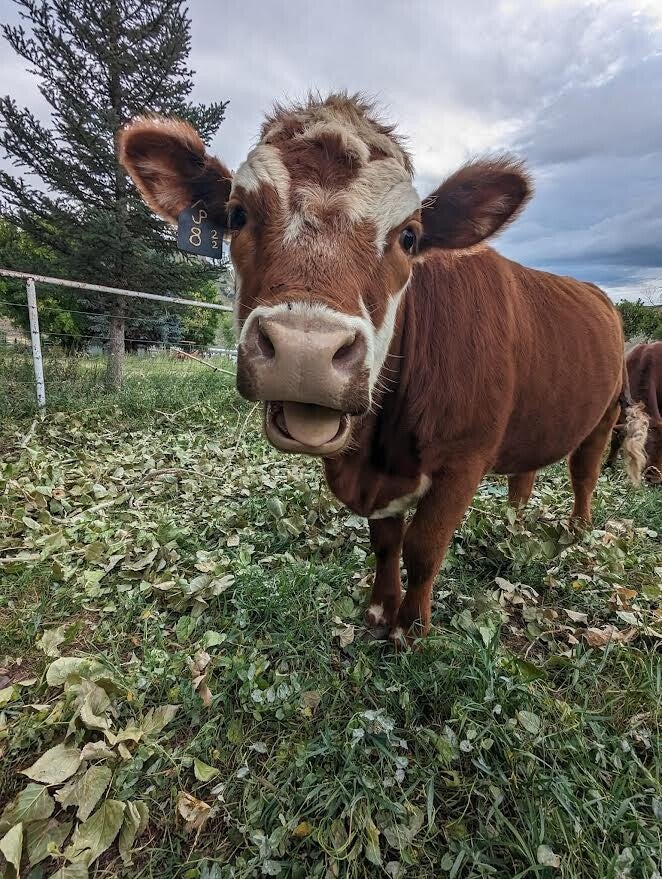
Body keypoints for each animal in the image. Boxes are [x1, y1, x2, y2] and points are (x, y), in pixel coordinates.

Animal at [119, 93, 649, 644]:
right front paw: (379, 610)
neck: (380, 447)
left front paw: (411, 628)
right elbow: (387, 542)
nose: (306, 350)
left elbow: (423, 548)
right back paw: (512, 524)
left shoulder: (464, 460)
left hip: (604, 413)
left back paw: (578, 530)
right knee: (524, 477)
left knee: (584, 472)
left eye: (409, 237)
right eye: (238, 215)